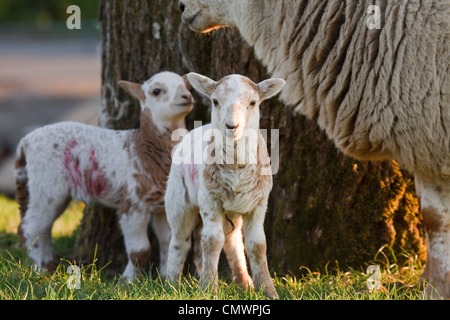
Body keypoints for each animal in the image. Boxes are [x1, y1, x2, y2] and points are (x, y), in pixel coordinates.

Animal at [14, 70, 194, 280]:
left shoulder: (160, 206)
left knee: (44, 227)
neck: (143, 148)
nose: (187, 97)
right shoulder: (132, 204)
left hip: (55, 191)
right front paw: (129, 281)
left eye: (186, 86)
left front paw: (165, 278)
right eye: (156, 91)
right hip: (45, 184)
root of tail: (25, 142)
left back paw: (49, 266)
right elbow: (140, 251)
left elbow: (167, 242)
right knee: (30, 227)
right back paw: (37, 270)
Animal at [164, 72, 284, 298]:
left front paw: (268, 290)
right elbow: (211, 241)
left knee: (233, 241)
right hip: (179, 198)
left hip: (234, 209)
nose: (232, 127)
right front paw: (208, 289)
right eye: (215, 101)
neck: (236, 166)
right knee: (179, 241)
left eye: (253, 102)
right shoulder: (209, 200)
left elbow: (257, 245)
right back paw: (171, 284)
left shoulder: (259, 203)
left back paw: (244, 283)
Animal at [178, 0, 450, 300]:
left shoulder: (428, 139)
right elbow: (435, 218)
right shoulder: (427, 143)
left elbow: (435, 220)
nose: (181, 6)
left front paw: (435, 287)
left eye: (252, 103)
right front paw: (429, 283)